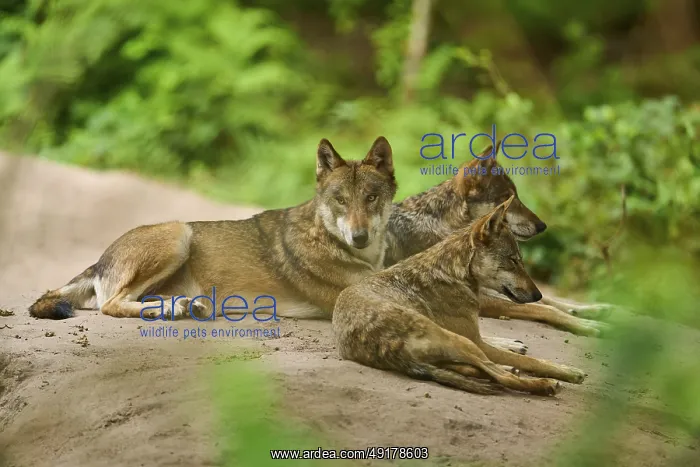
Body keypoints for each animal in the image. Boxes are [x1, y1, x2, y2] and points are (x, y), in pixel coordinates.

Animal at [29, 137, 397, 320]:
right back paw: (172, 309)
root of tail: (98, 261)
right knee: (111, 305)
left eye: (371, 198)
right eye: (340, 200)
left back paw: (184, 306)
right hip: (179, 235)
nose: (359, 237)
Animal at [333, 197, 587, 396]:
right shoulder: (478, 341)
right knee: (502, 376)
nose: (538, 294)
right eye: (513, 261)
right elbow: (531, 360)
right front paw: (569, 372)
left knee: (475, 369)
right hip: (464, 342)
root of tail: (385, 345)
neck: (453, 272)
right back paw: (544, 384)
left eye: (520, 261)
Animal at [384, 141, 611, 344]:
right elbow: (544, 307)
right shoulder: (483, 296)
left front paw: (599, 310)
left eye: (516, 196)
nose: (542, 226)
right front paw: (589, 325)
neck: (443, 226)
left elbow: (551, 301)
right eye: (506, 198)